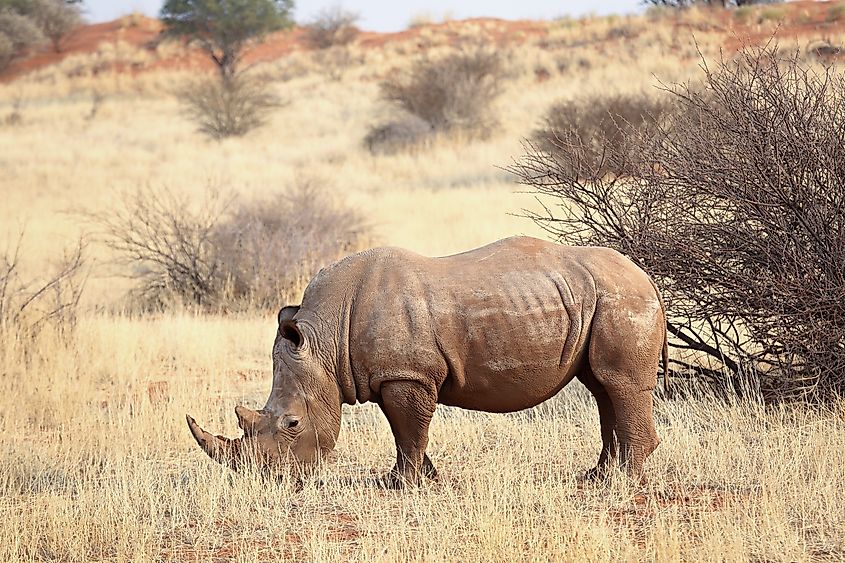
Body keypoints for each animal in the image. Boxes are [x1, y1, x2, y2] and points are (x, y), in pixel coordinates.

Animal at [187, 236, 668, 486]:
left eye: (291, 424)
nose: (265, 480)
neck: (325, 340)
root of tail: (648, 278)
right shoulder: (390, 375)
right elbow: (404, 430)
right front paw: (422, 478)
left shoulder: (408, 375)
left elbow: (409, 428)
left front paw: (400, 485)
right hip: (601, 298)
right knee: (602, 387)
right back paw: (596, 477)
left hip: (623, 299)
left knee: (619, 384)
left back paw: (621, 483)